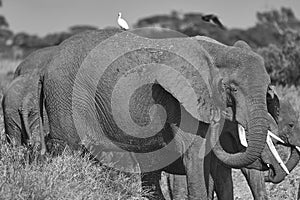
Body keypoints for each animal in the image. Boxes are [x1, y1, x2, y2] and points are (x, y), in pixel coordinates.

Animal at [38, 27, 282, 198]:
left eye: (267, 89)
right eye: (232, 88)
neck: (216, 51)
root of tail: (45, 67)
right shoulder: (179, 99)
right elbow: (194, 153)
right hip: (66, 95)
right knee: (70, 150)